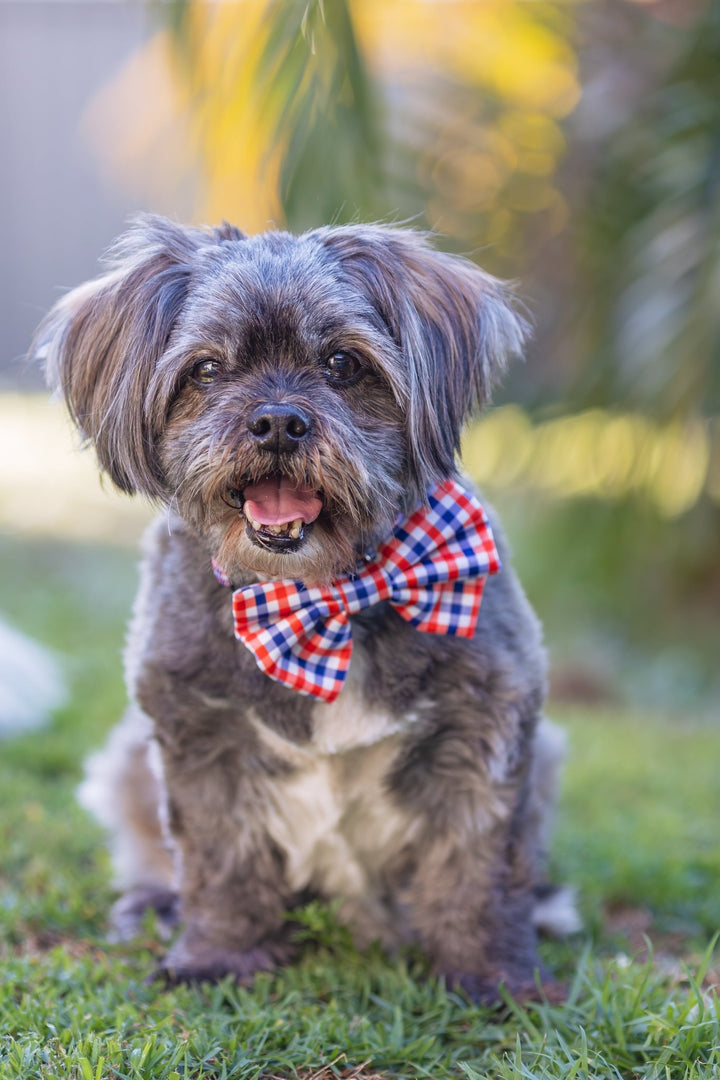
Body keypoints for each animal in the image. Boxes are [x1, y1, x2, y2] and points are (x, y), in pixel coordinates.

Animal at [38, 217, 578, 1002]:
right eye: (206, 370)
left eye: (343, 363)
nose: (276, 421)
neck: (323, 594)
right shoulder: (198, 729)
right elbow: (222, 859)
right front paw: (220, 956)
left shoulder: (485, 720)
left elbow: (474, 868)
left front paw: (493, 976)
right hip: (129, 758)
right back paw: (153, 901)